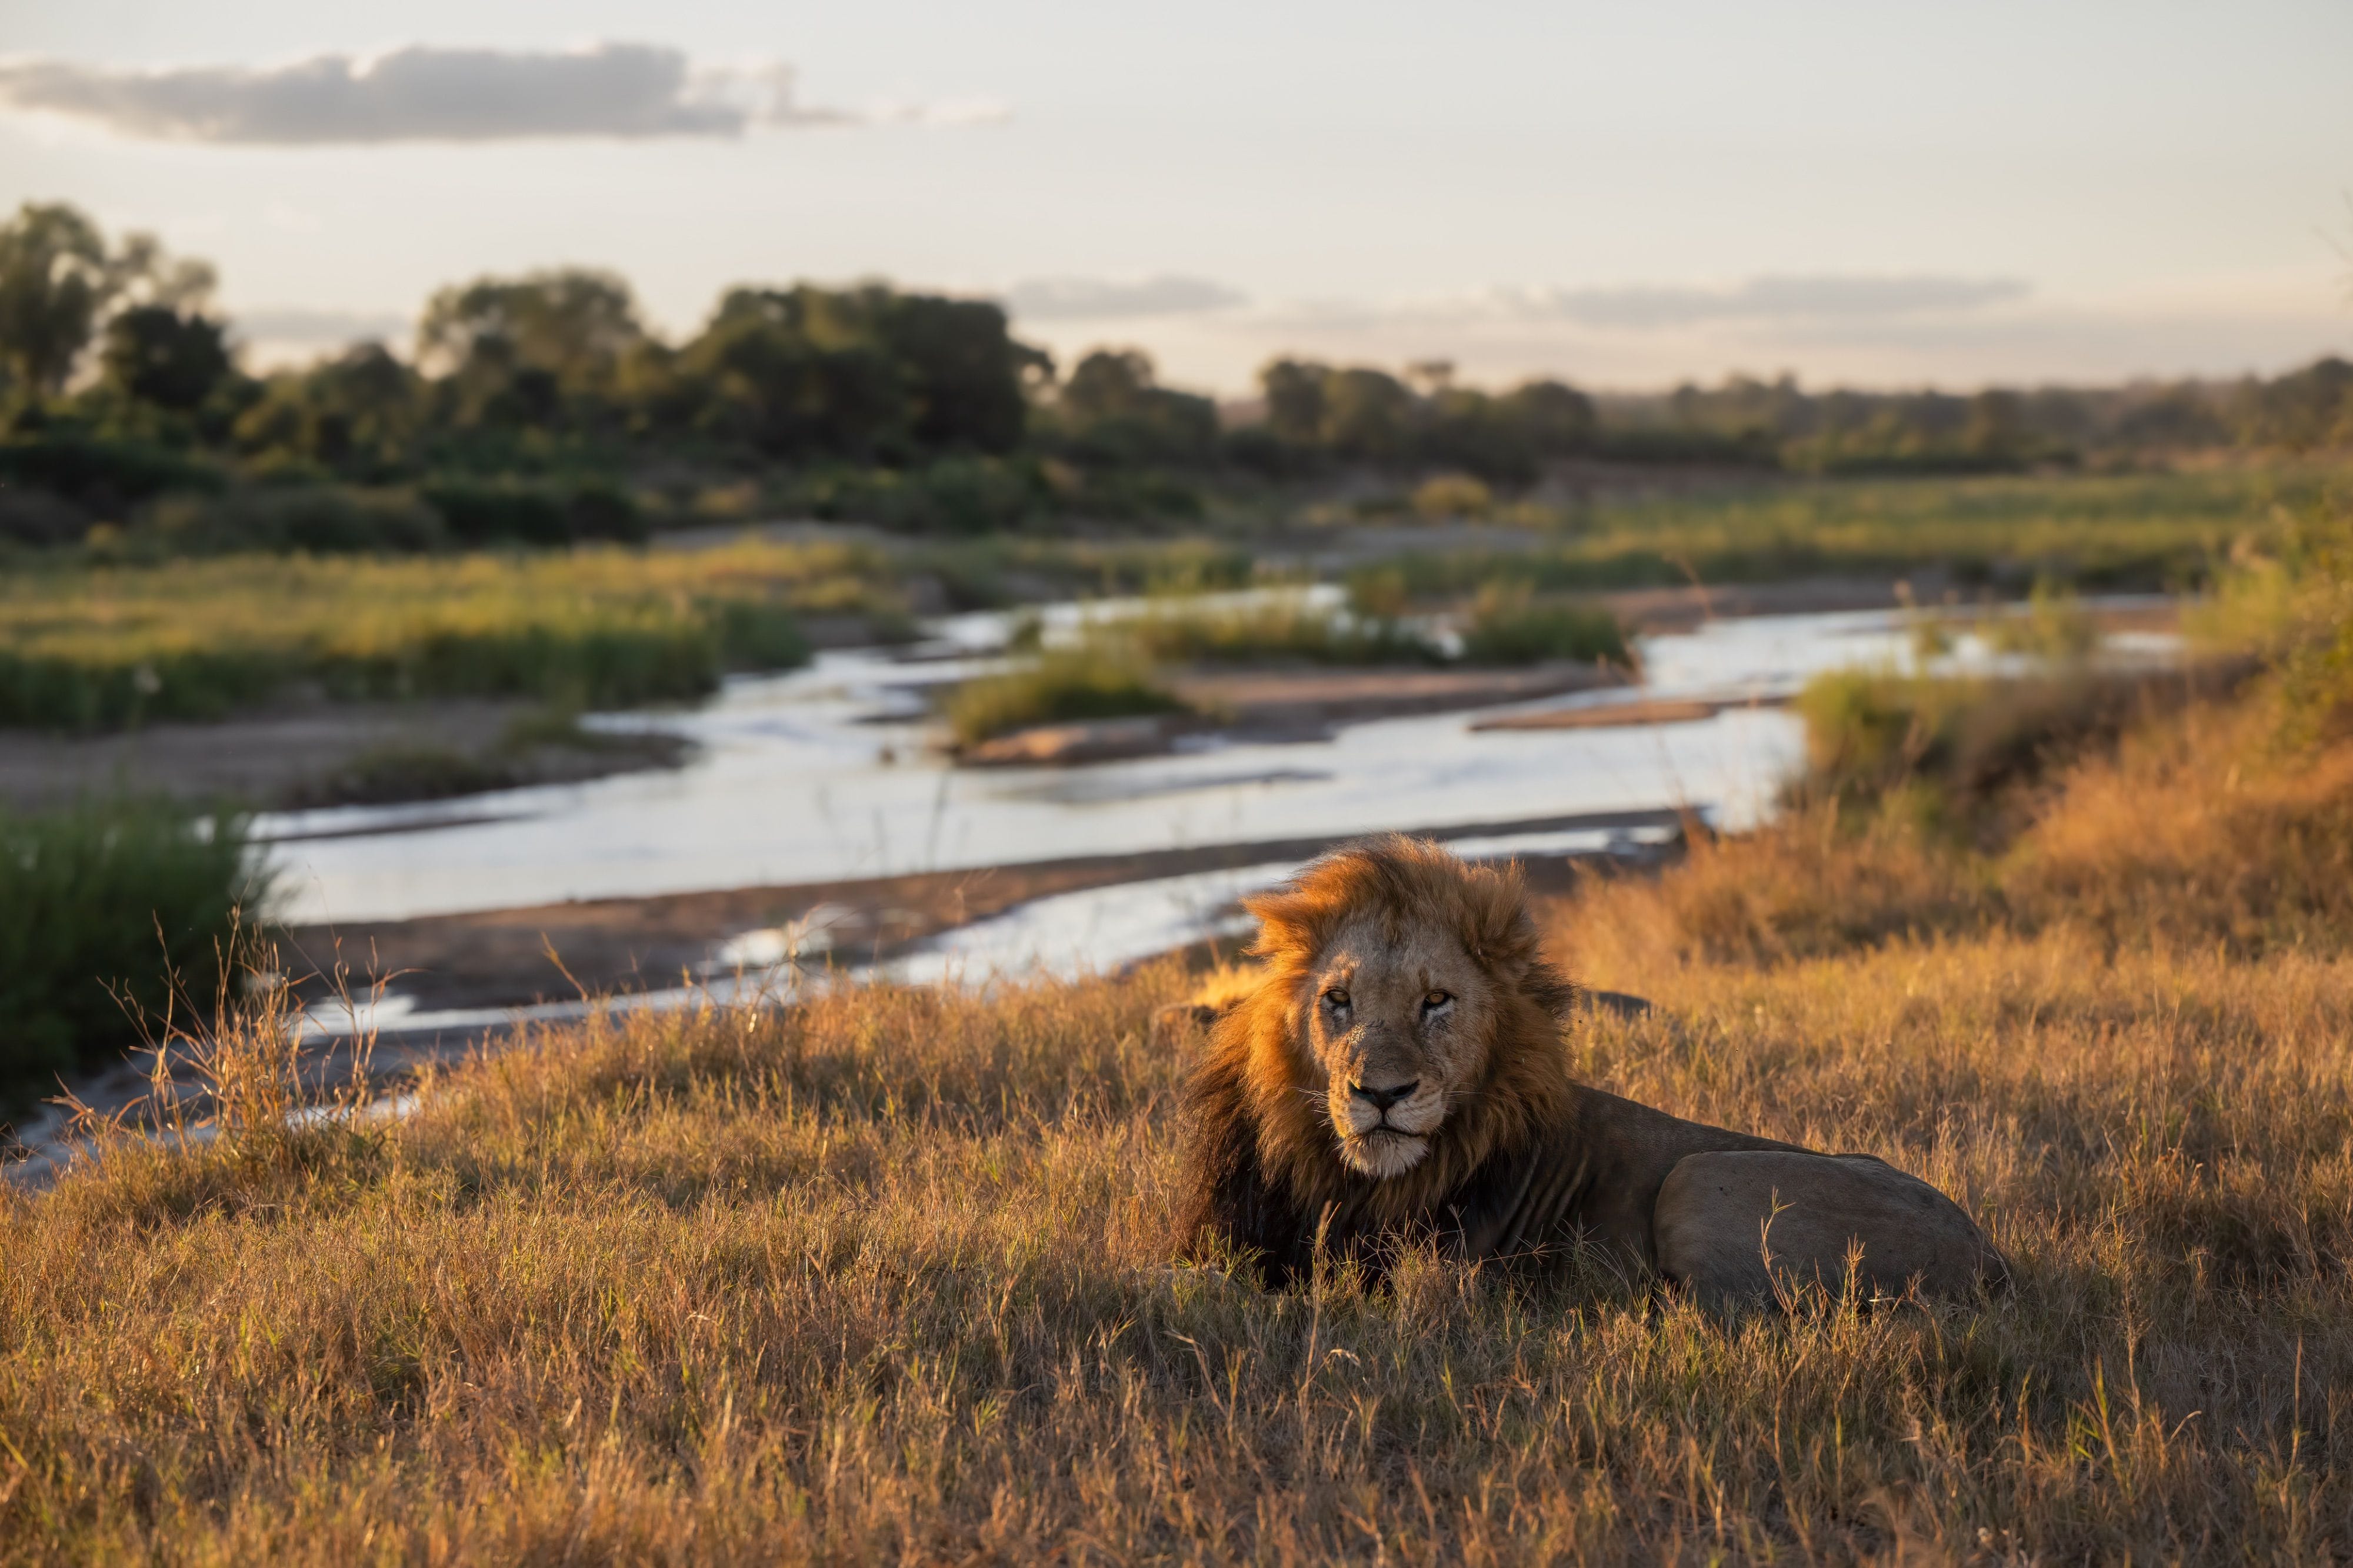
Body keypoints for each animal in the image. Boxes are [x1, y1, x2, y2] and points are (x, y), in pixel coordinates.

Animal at [1173, 835, 2008, 1307]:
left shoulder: (1402, 1274)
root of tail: (1994, 1260)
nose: (1380, 1093)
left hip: (1698, 1177)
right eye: (1337, 1000)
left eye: (1436, 1000)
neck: (1332, 1169)